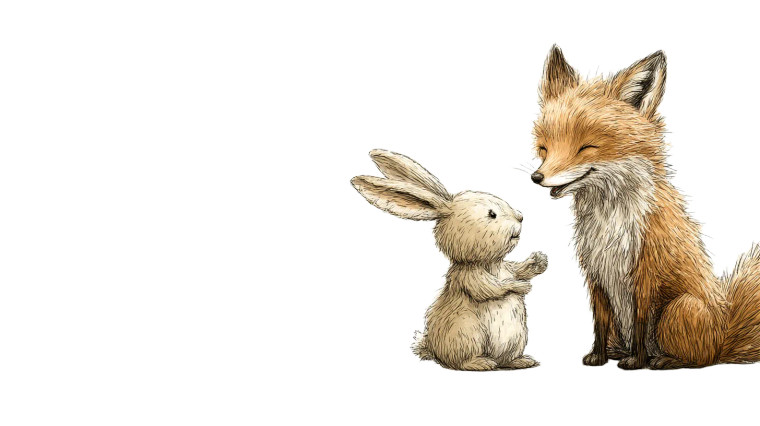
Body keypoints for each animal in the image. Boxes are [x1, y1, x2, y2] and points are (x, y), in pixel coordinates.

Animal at [351, 149, 548, 371]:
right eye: (492, 214)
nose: (520, 216)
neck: (490, 263)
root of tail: (433, 349)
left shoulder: (507, 267)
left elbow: (519, 269)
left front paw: (540, 260)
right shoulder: (469, 277)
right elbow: (490, 289)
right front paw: (521, 286)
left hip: (516, 339)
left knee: (507, 359)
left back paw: (523, 361)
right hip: (468, 334)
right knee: (462, 362)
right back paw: (482, 363)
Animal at [530, 46, 760, 369]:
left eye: (586, 147)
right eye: (544, 148)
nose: (537, 177)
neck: (610, 222)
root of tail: (723, 335)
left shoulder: (646, 273)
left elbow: (640, 322)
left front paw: (636, 362)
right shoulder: (596, 274)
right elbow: (599, 322)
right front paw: (598, 356)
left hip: (679, 310)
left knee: (699, 359)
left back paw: (663, 359)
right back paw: (619, 352)